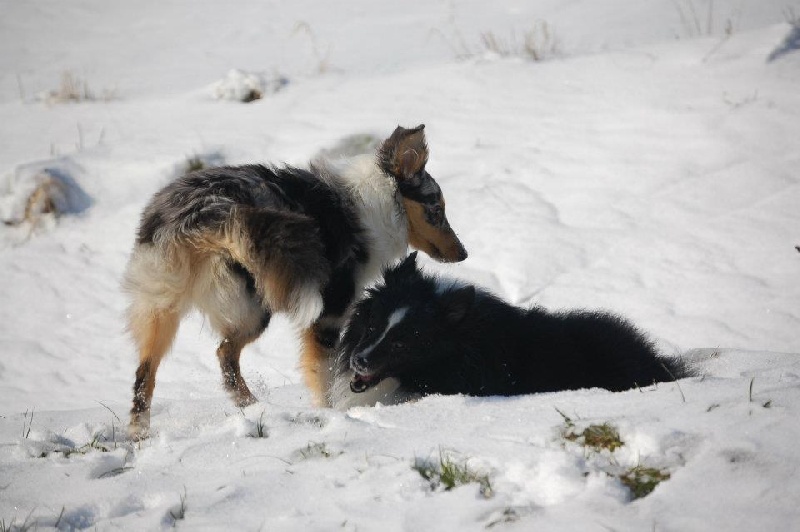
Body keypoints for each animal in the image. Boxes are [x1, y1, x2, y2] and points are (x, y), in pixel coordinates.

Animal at [122, 125, 466, 440]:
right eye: (437, 209)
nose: (464, 253)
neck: (378, 202)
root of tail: (206, 214)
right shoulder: (329, 316)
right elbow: (324, 375)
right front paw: (332, 414)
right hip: (254, 306)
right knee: (223, 353)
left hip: (165, 304)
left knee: (155, 369)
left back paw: (149, 432)